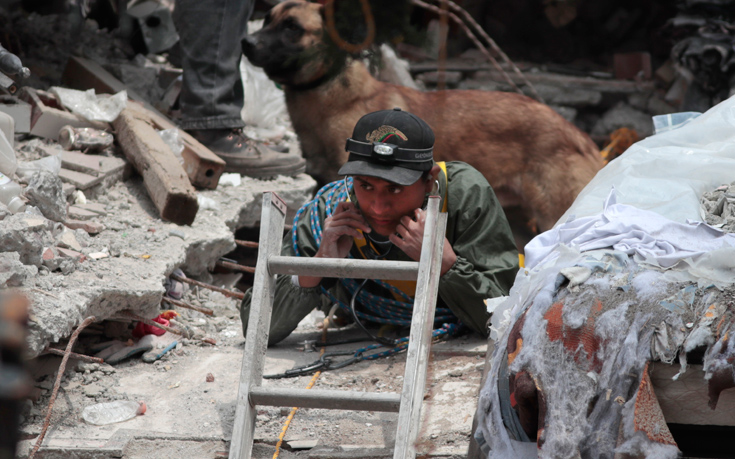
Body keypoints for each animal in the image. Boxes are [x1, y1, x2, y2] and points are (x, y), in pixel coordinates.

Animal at [242, 0, 604, 234]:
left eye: (292, 27)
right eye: (266, 20)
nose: (246, 42)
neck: (333, 95)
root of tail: (580, 137)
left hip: (554, 215)